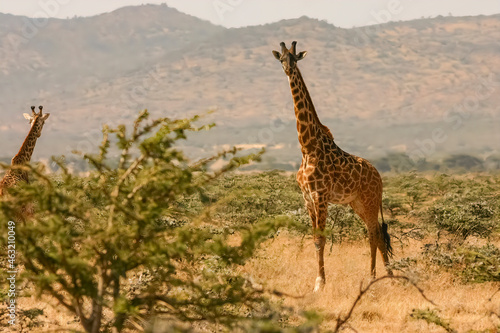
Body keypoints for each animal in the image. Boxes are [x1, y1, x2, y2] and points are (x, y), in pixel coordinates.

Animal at [272, 40, 392, 290]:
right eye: (282, 59)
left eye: (295, 58)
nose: (288, 69)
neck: (307, 147)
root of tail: (379, 176)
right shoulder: (307, 197)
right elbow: (314, 238)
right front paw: (318, 280)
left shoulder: (321, 195)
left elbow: (321, 238)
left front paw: (320, 283)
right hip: (357, 203)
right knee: (375, 233)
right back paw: (382, 276)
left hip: (370, 200)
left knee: (375, 234)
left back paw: (381, 277)